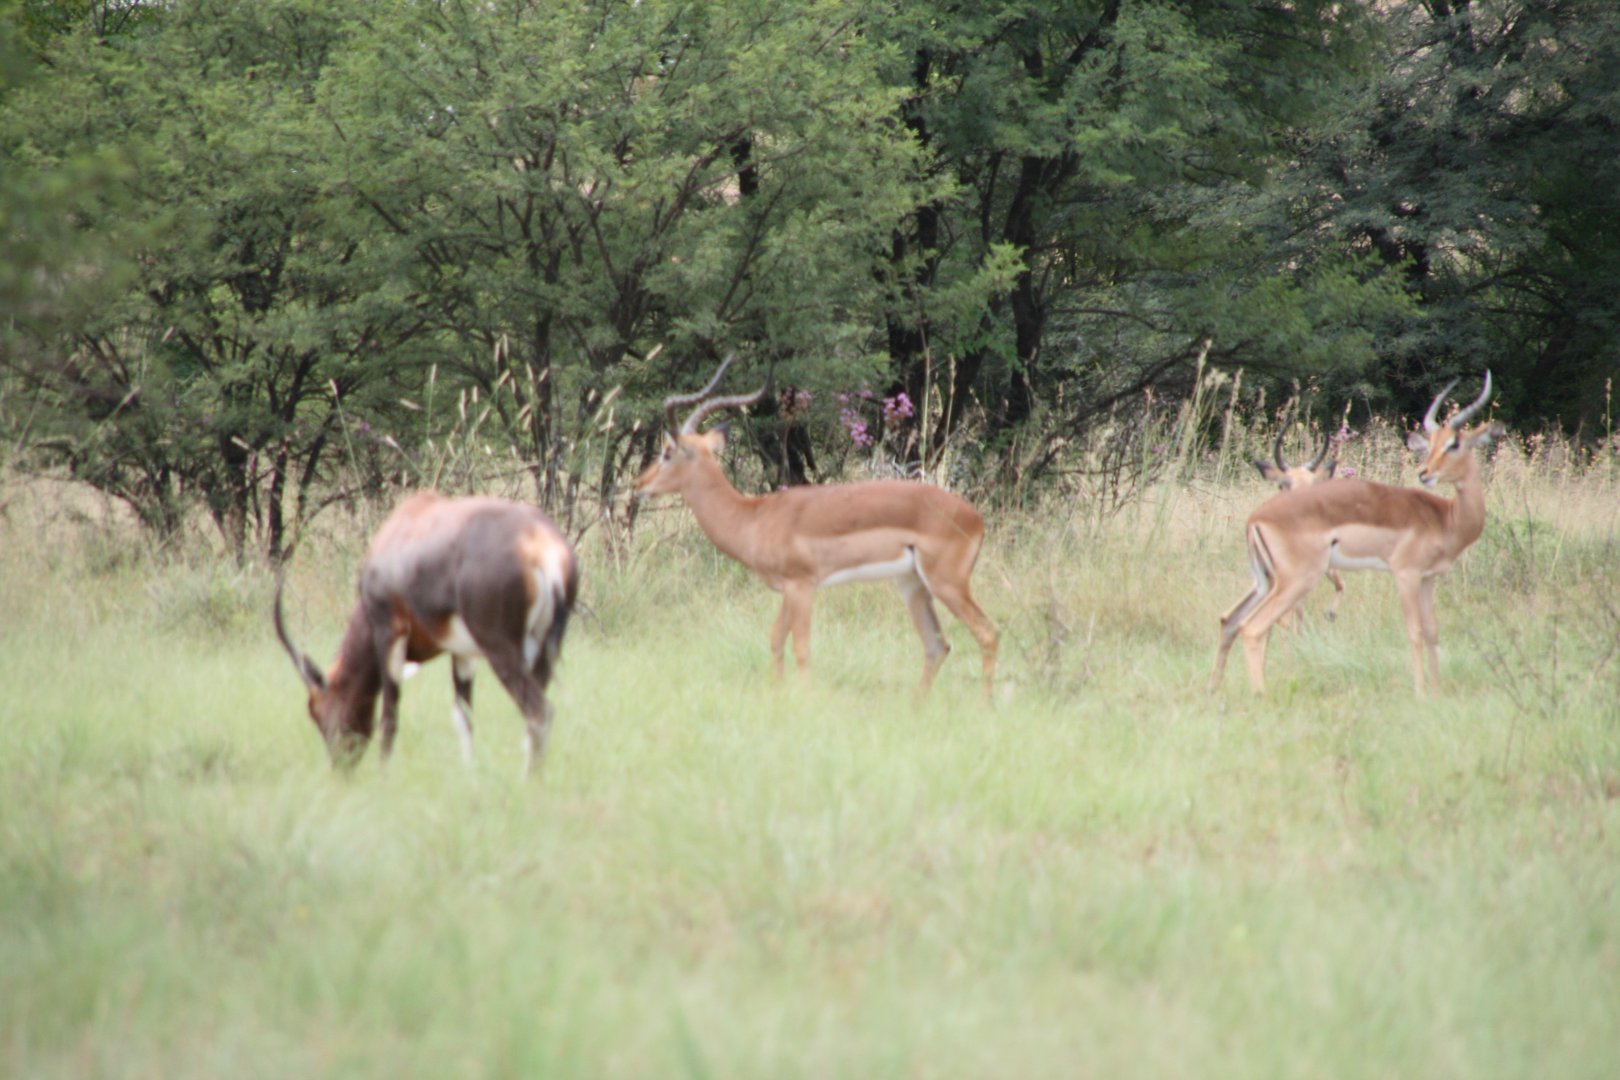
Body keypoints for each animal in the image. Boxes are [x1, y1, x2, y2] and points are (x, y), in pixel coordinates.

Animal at [275, 495, 579, 773]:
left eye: (315, 710)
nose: (341, 769)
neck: (403, 530)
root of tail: (542, 547)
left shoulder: (389, 634)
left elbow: (389, 717)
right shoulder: (462, 653)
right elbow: (463, 718)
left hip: (499, 648)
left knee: (539, 713)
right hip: (541, 651)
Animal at [635, 354, 997, 702]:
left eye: (667, 452)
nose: (639, 485)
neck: (753, 517)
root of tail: (975, 518)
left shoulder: (802, 586)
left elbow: (801, 648)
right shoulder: (787, 590)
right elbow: (775, 640)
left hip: (947, 583)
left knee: (987, 634)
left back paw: (985, 706)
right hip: (912, 584)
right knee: (937, 645)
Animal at [1218, 372, 1503, 693]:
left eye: (1453, 444)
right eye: (1433, 444)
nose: (1424, 473)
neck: (1445, 516)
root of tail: (1256, 519)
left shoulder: (1427, 578)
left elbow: (1432, 631)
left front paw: (1437, 690)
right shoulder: (1405, 574)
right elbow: (1414, 631)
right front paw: (1421, 692)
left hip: (1265, 581)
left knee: (1232, 620)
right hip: (1297, 580)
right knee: (1255, 627)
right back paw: (1261, 693)